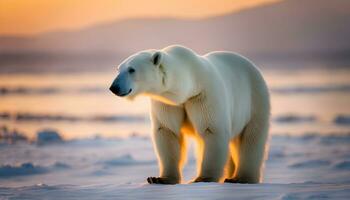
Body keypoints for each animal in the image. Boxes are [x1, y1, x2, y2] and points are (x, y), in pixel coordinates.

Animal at [109, 45, 270, 184]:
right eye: (118, 69)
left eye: (131, 69)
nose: (113, 87)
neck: (190, 84)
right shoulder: (167, 102)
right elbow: (167, 131)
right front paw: (159, 179)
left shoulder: (203, 96)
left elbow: (212, 130)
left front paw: (202, 178)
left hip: (255, 99)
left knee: (251, 138)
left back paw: (240, 178)